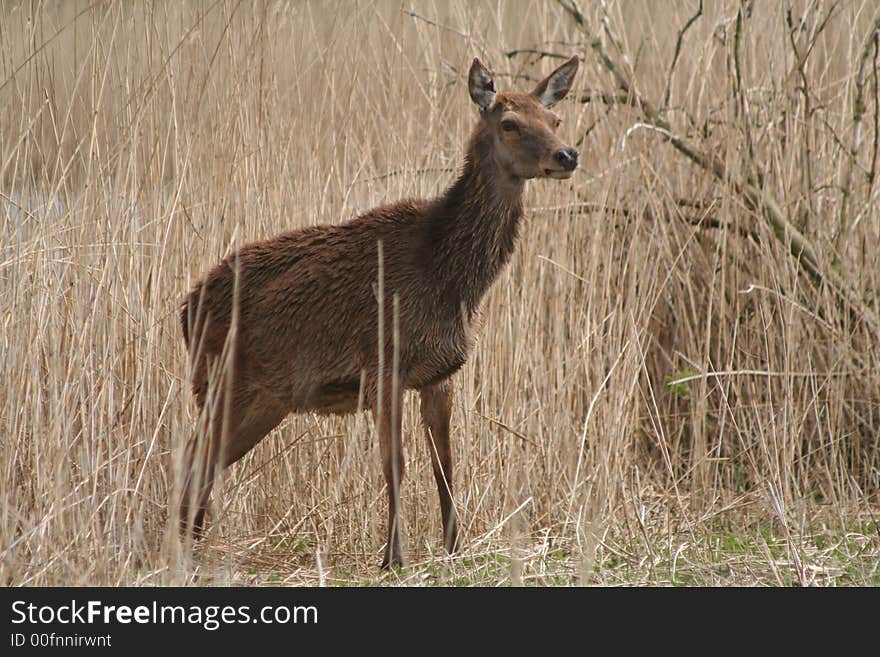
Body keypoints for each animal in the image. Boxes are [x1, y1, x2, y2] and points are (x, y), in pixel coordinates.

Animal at [177, 53, 576, 568]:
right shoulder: (384, 363)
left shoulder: (440, 373)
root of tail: (183, 310)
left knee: (206, 458)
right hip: (217, 380)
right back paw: (180, 546)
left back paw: (189, 544)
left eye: (554, 119)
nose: (566, 155)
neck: (452, 282)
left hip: (265, 399)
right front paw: (393, 558)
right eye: (509, 123)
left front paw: (454, 548)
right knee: (193, 455)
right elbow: (396, 464)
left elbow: (445, 463)